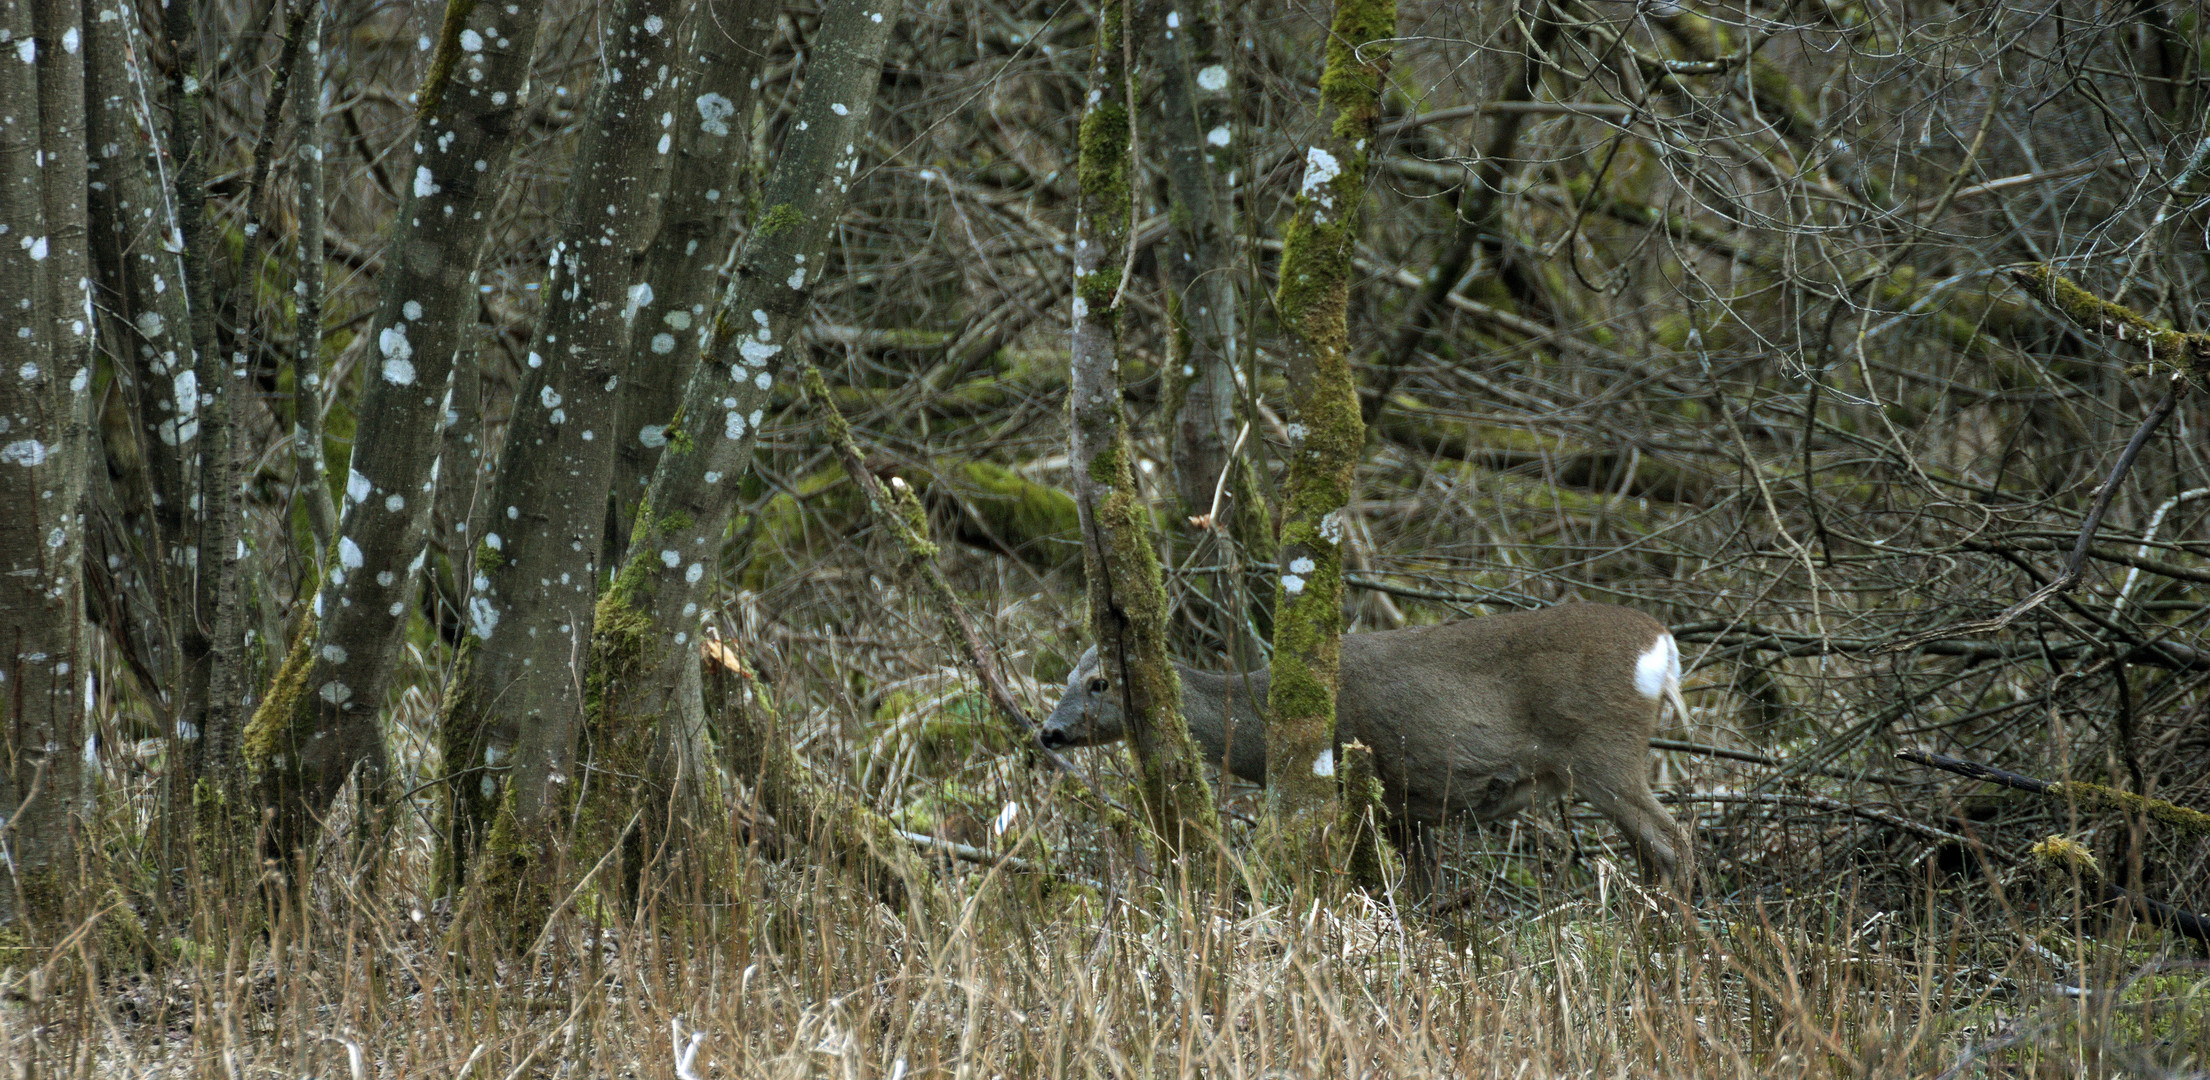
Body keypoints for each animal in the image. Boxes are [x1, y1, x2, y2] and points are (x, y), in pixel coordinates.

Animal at [1034, 600, 1688, 896]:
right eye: (1065, 675)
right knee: (1654, 847)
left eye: (1099, 683)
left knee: (1675, 840)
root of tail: (1663, 644)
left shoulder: (1365, 783)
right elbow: (1424, 887)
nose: (1049, 732)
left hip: (1602, 749)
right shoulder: (1410, 801)